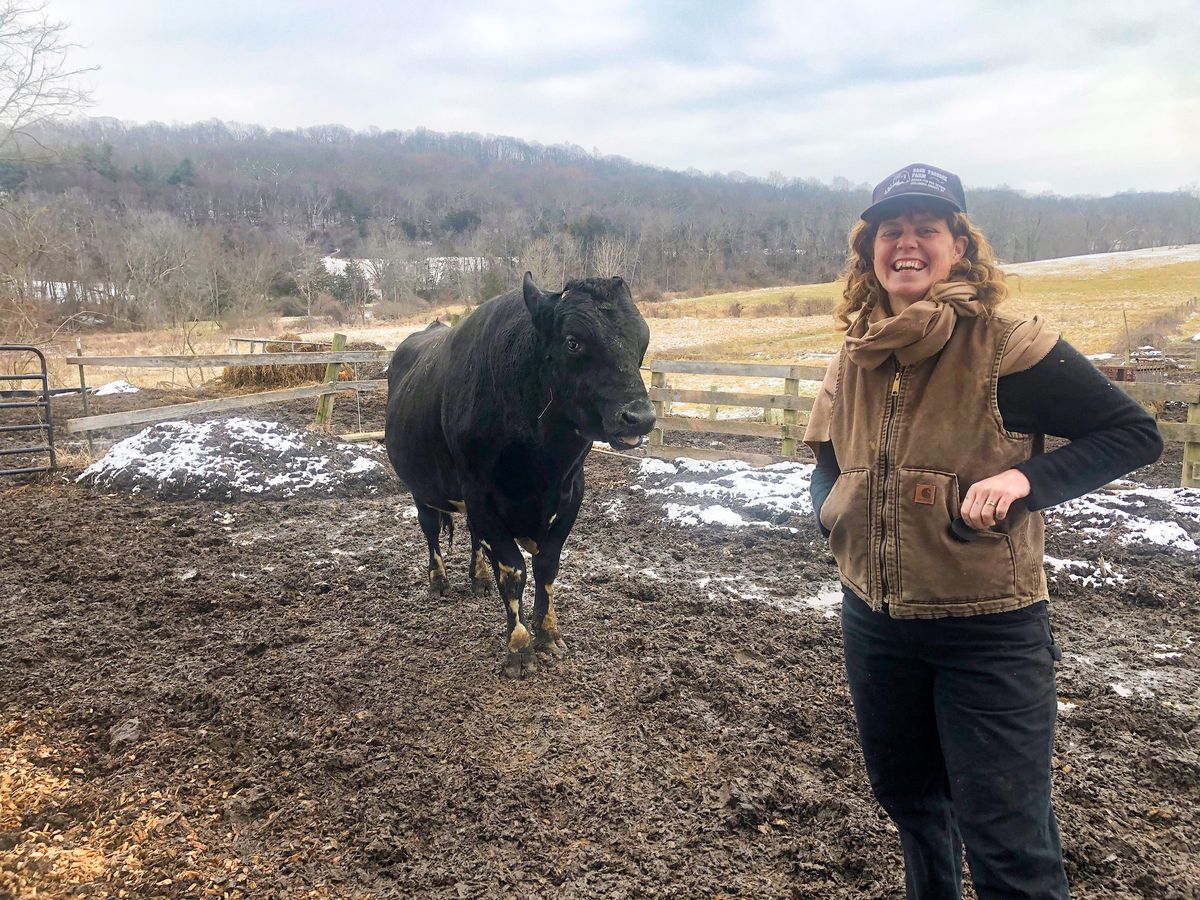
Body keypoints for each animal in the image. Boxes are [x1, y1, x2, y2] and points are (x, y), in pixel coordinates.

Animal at [386, 273, 657, 676]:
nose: (639, 417)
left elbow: (547, 566)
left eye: (643, 339)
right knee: (431, 530)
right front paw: (518, 646)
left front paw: (548, 633)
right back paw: (439, 581)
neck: (542, 461)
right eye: (573, 341)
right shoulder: (480, 494)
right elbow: (513, 571)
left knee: (473, 538)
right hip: (421, 487)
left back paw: (479, 579)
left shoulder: (573, 491)